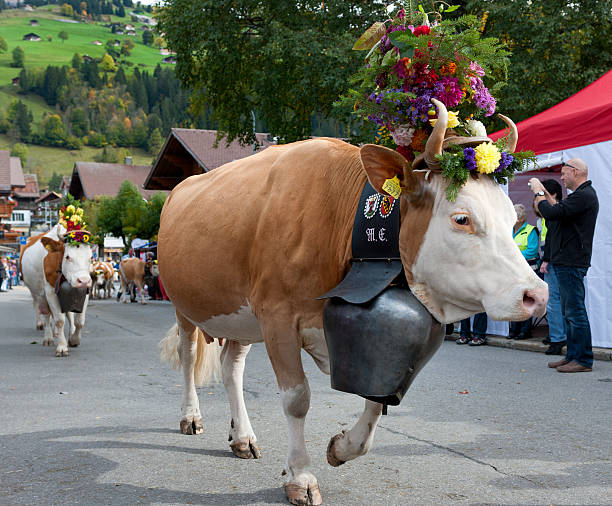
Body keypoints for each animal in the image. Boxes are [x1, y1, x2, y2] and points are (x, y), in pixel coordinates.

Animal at [20, 223, 92, 358]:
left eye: (91, 257)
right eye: (68, 257)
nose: (83, 280)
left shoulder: (84, 291)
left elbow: (79, 321)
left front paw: (74, 339)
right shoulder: (50, 292)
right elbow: (59, 320)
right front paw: (62, 347)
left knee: (68, 314)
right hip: (38, 293)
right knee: (44, 312)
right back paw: (48, 337)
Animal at [158, 100, 544, 506]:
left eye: (510, 217)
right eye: (462, 219)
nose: (537, 295)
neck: (340, 226)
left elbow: (375, 399)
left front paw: (341, 448)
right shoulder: (277, 315)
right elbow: (297, 398)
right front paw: (301, 476)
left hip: (240, 315)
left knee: (232, 366)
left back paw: (242, 437)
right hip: (185, 306)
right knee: (188, 357)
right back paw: (191, 417)